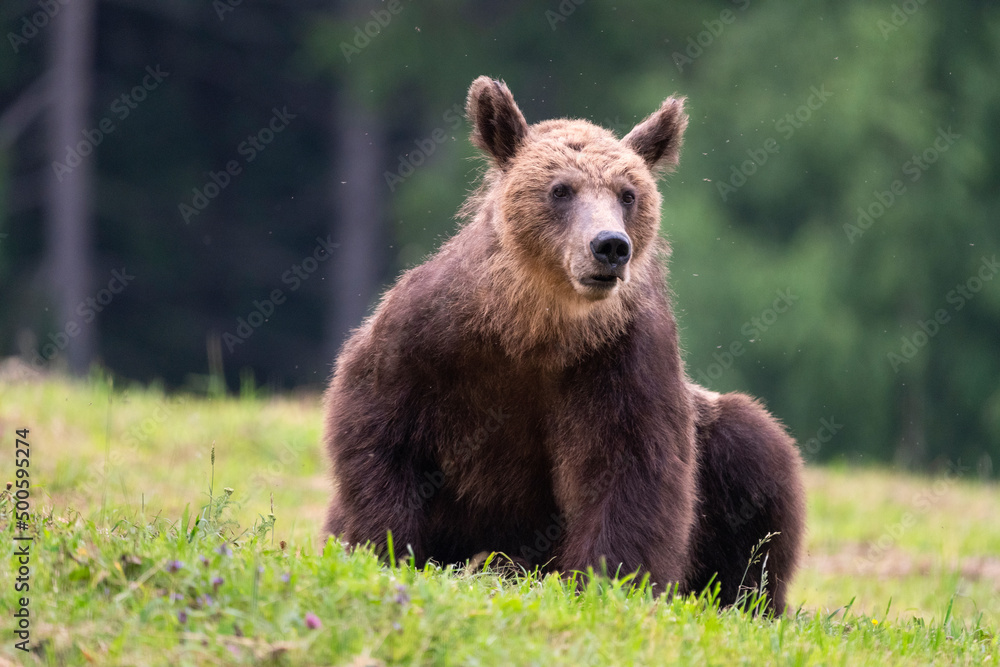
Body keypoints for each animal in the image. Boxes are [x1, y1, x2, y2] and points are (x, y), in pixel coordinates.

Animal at [323, 76, 805, 614]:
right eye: (561, 189)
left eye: (628, 194)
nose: (610, 246)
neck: (537, 329)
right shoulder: (429, 341)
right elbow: (382, 433)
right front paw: (390, 547)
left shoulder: (618, 361)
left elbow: (629, 470)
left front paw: (604, 580)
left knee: (755, 459)